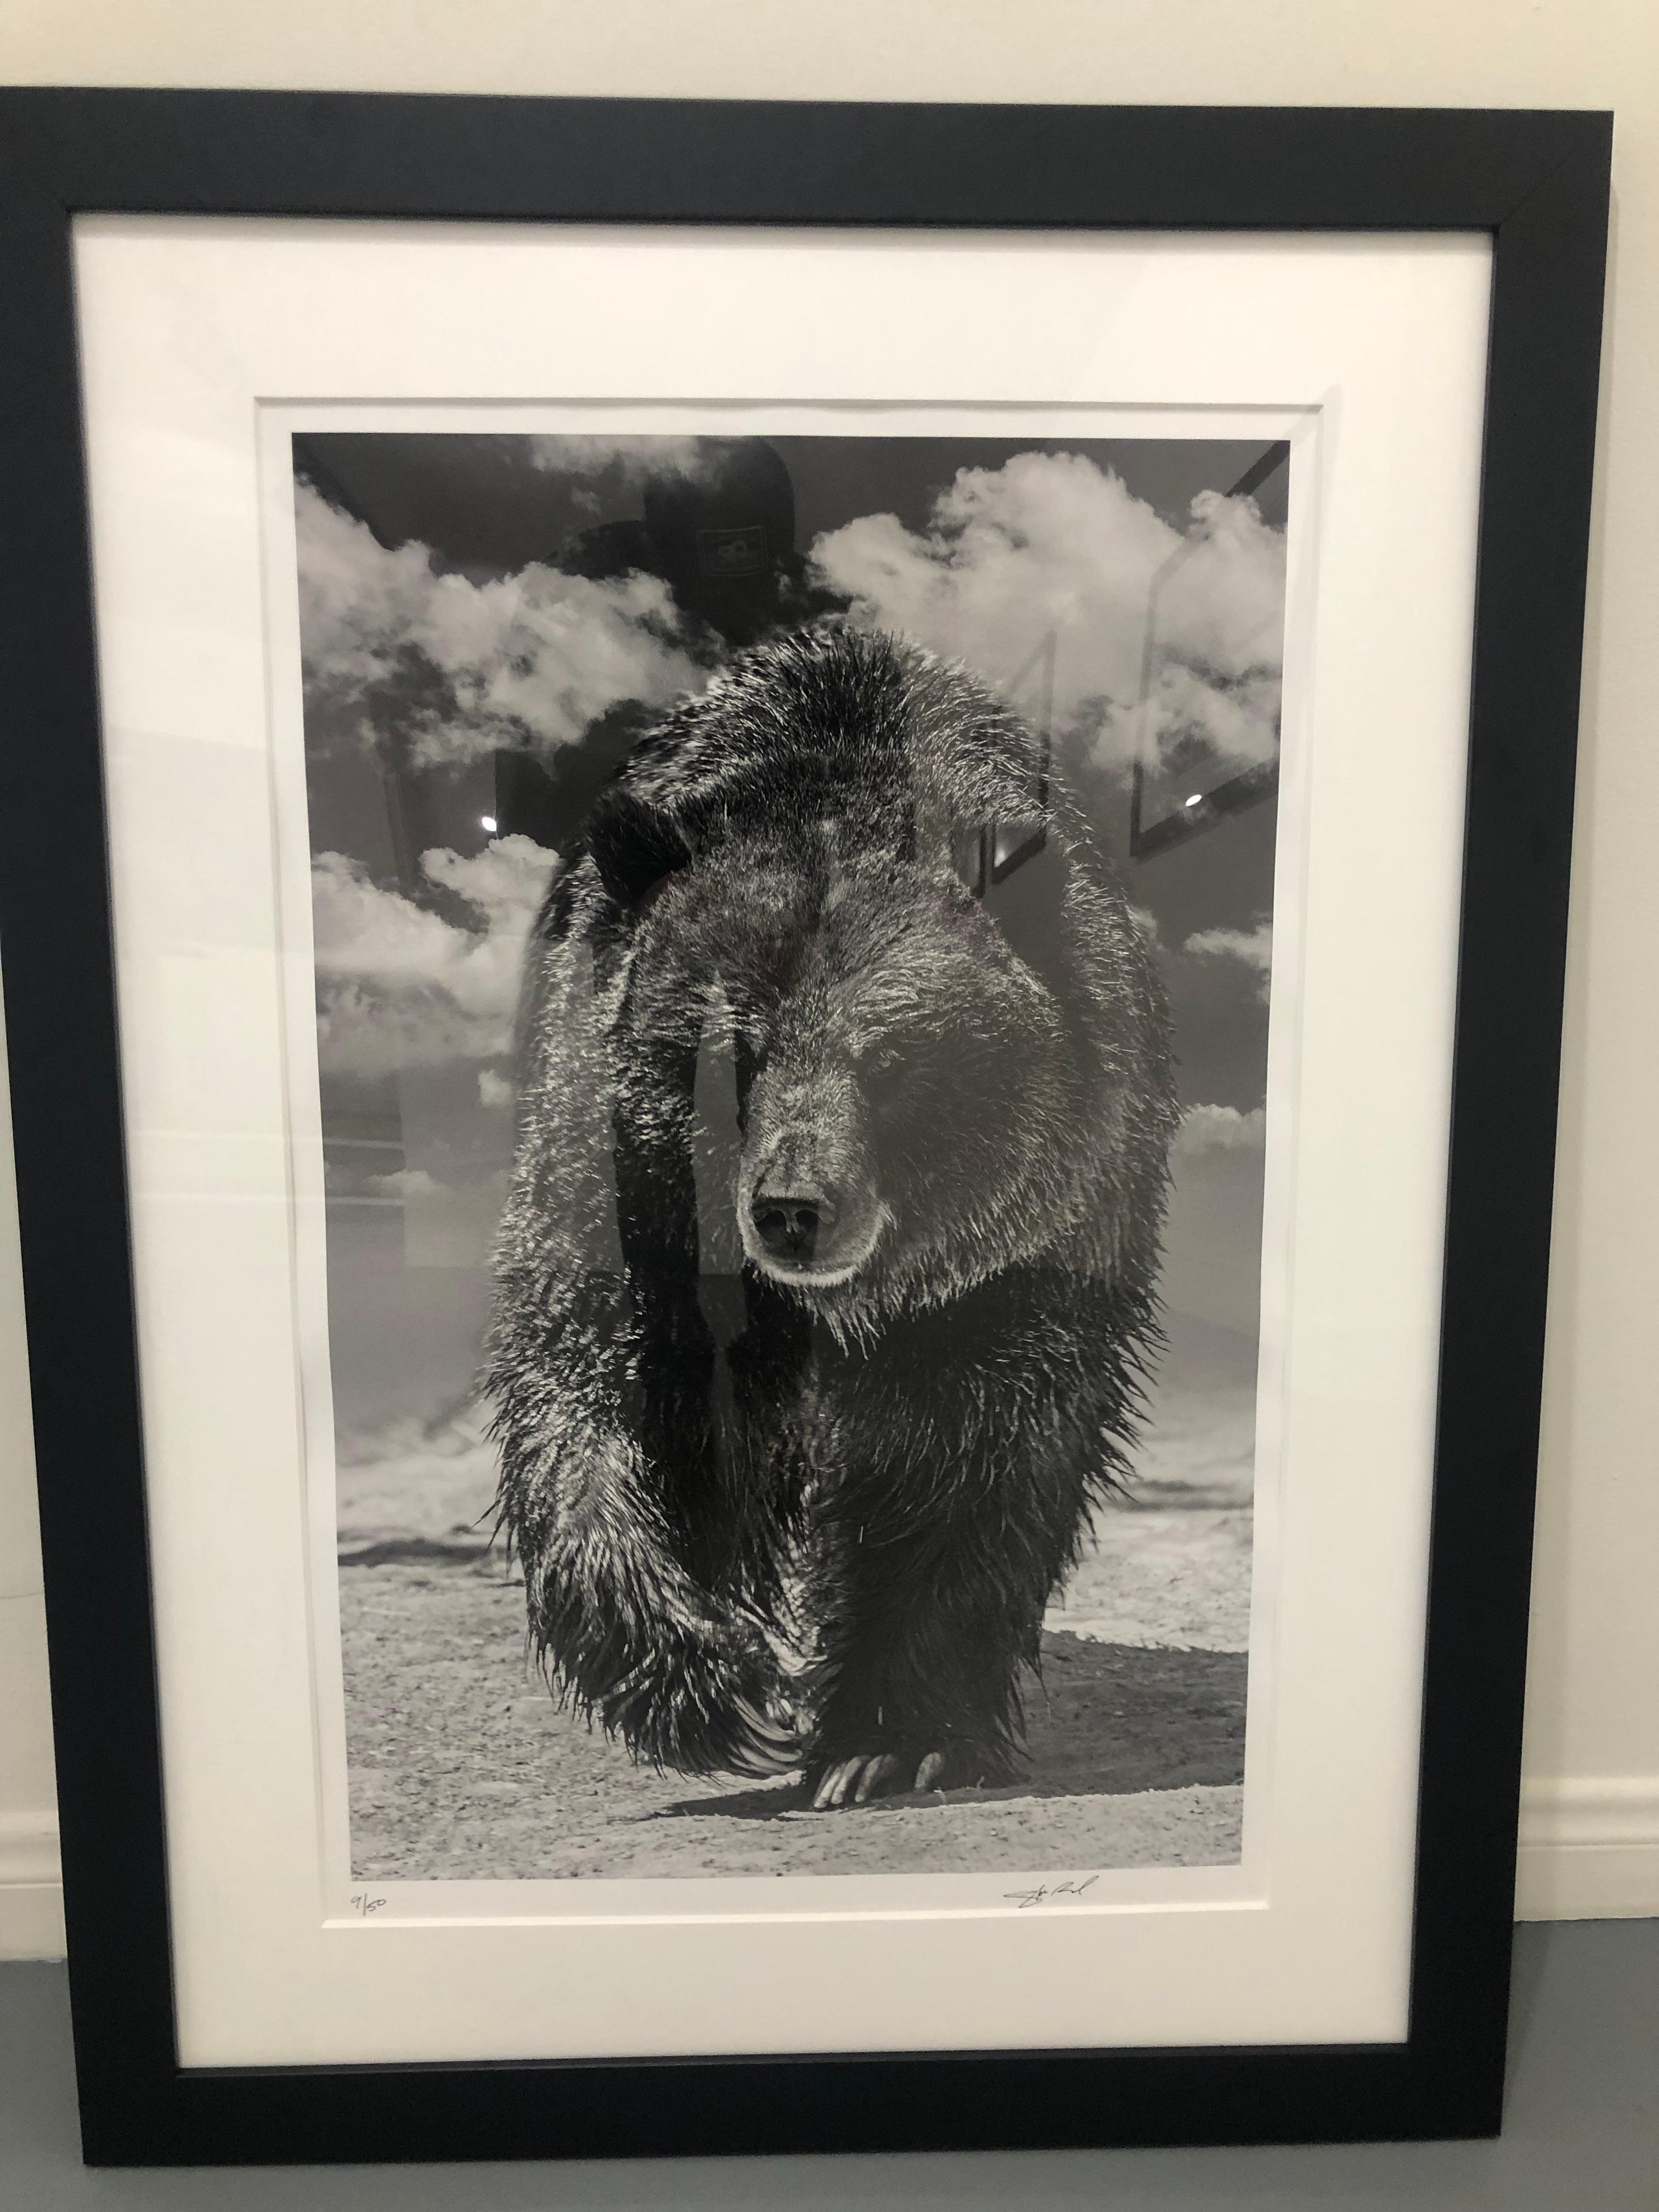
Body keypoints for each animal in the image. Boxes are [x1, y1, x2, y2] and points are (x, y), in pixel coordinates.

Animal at [485, 623, 1179, 1809]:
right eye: (731, 1054)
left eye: (893, 1059)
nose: (793, 1209)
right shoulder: (633, 1204)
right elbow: (602, 1399)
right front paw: (713, 1686)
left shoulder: (1023, 1254)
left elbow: (977, 1457)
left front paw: (891, 1737)